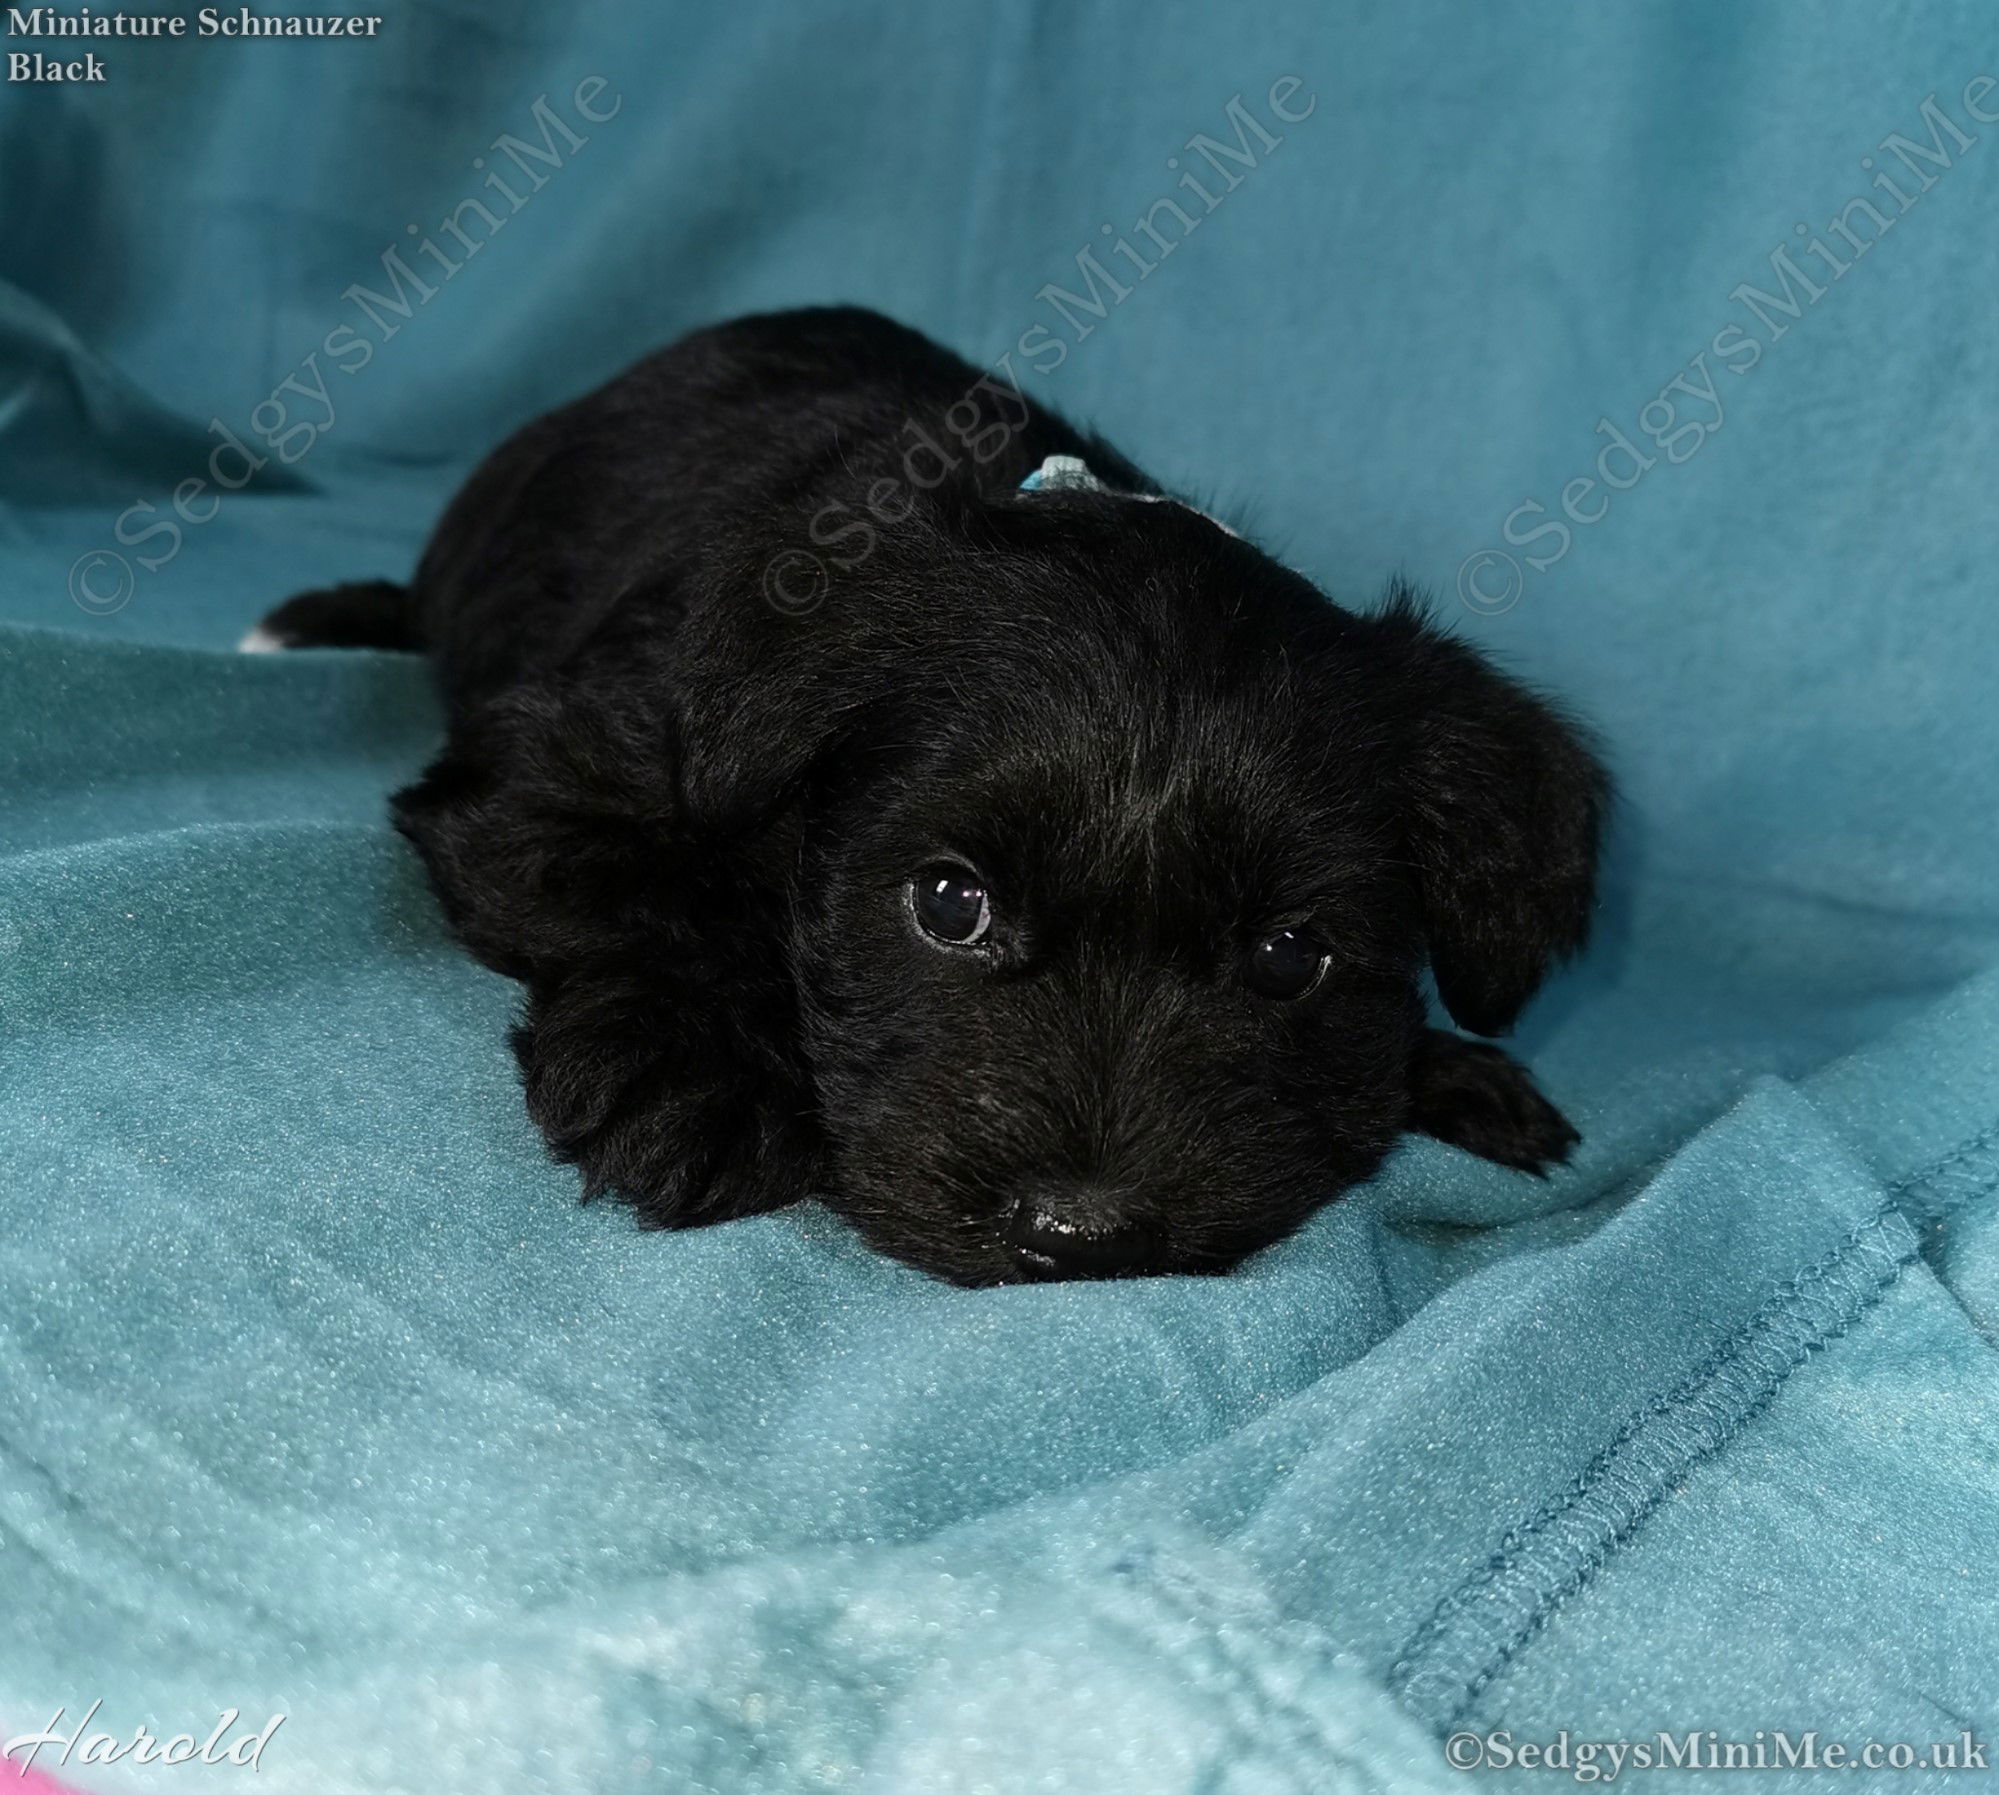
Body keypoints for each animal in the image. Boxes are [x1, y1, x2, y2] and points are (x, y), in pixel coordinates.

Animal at [257, 311, 1607, 1287]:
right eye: (950, 904)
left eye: (1288, 958)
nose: (1080, 1238)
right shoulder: (542, 776)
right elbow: (666, 897)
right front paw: (698, 1080)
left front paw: (1451, 1070)